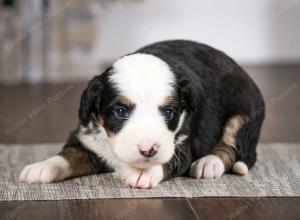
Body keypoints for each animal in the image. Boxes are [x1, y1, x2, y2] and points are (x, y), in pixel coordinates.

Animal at [19, 40, 264, 188]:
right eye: (120, 112)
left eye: (169, 112)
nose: (148, 150)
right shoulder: (88, 139)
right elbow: (66, 156)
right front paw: (41, 168)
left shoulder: (181, 145)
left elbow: (168, 160)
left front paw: (144, 173)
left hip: (243, 112)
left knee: (232, 148)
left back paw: (209, 163)